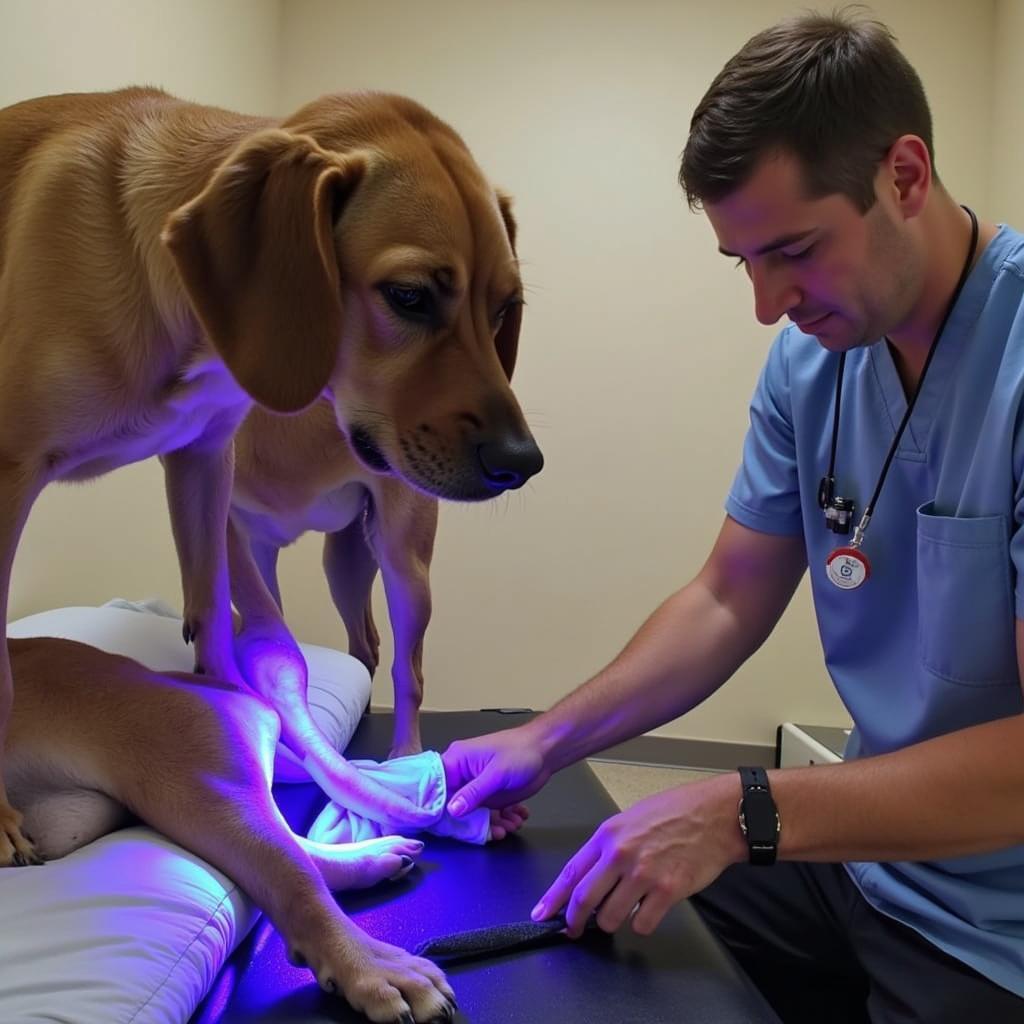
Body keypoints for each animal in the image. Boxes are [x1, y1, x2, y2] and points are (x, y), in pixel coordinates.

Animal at [0, 88, 544, 864]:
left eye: (505, 309)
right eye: (409, 296)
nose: (523, 462)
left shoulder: (203, 465)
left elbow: (226, 631)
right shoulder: (203, 506)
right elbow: (240, 633)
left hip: (398, 562)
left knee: (402, 667)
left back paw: (405, 759)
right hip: (333, 559)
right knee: (359, 647)